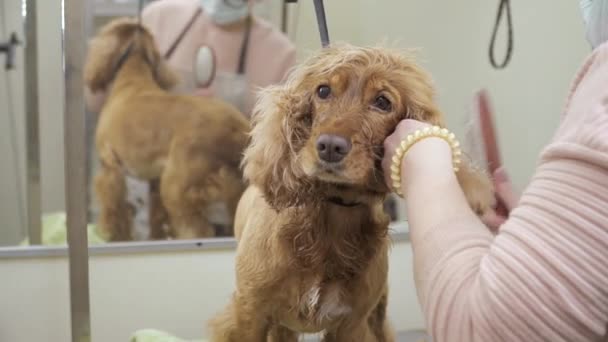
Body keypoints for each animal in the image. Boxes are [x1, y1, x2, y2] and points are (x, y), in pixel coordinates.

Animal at [84, 18, 248, 240]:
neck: (132, 77)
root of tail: (238, 129)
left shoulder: (111, 168)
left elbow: (114, 211)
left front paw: (113, 235)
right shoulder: (153, 181)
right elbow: (155, 218)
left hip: (177, 187)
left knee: (197, 230)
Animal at [210, 44, 494, 340]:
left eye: (382, 102)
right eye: (323, 91)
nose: (329, 147)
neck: (332, 214)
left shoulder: (351, 324)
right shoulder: (248, 315)